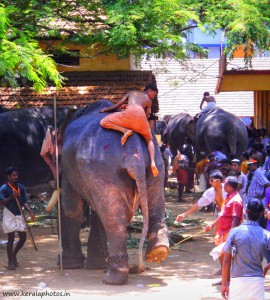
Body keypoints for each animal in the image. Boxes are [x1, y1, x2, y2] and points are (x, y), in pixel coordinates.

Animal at [60, 99, 170, 284]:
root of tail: (134, 153)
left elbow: (71, 209)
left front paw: (70, 265)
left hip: (103, 168)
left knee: (114, 219)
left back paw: (112, 279)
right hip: (156, 164)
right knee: (151, 202)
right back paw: (158, 251)